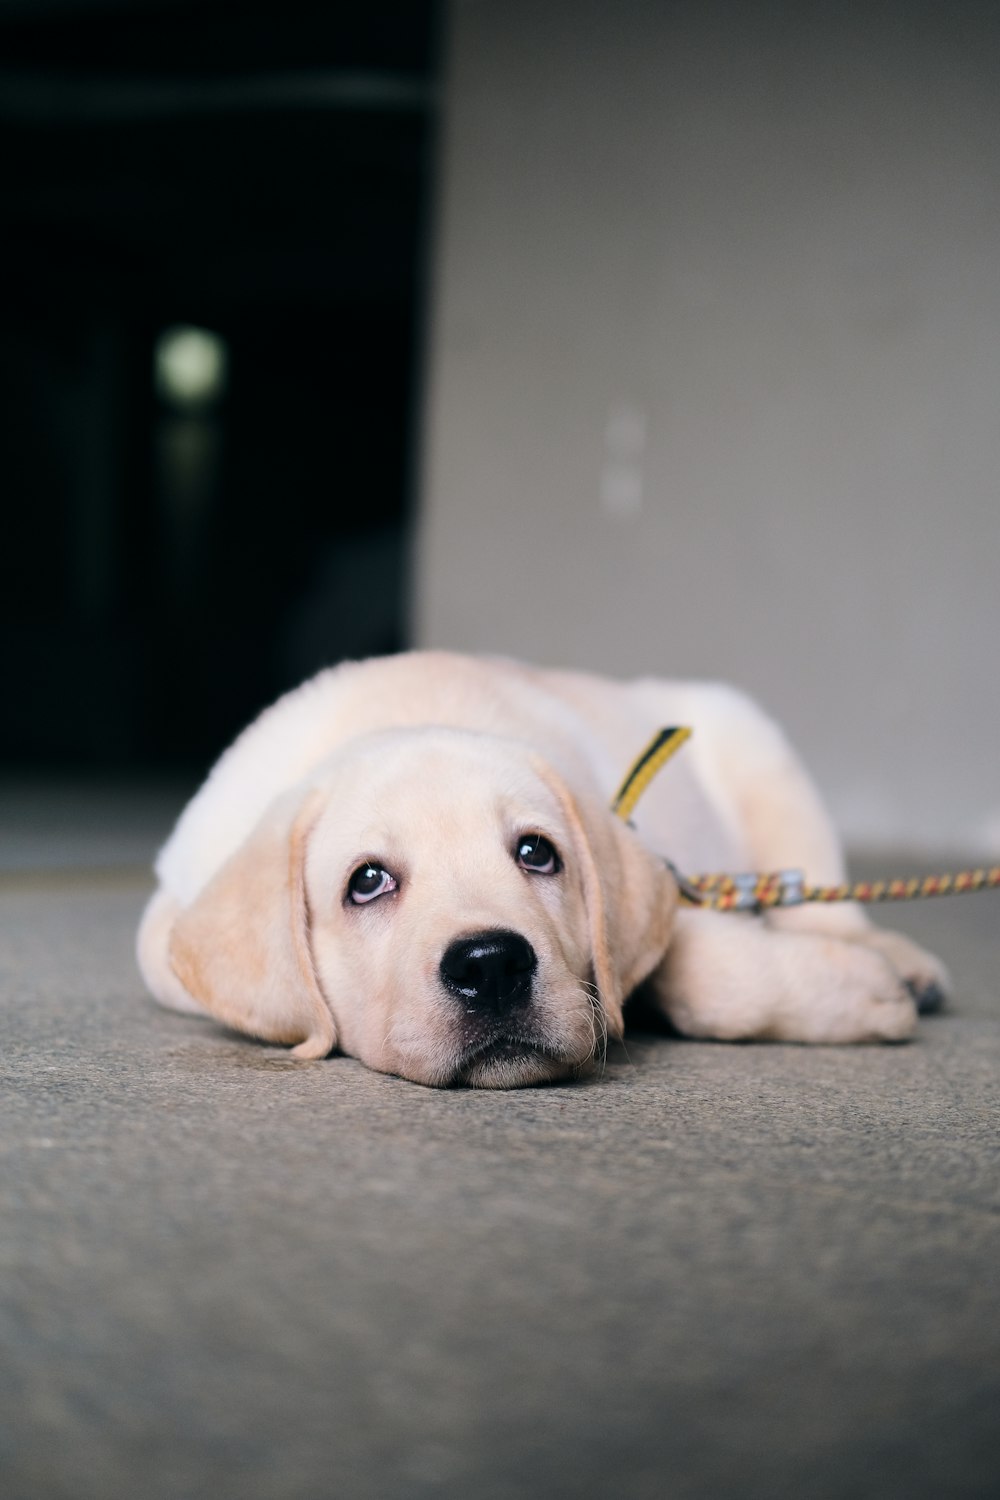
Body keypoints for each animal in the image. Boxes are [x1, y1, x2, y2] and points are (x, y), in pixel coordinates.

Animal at [137, 651, 953, 1086]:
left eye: (537, 853)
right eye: (366, 882)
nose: (492, 965)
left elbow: (696, 971)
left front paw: (860, 992)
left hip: (763, 757)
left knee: (819, 897)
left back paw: (891, 958)